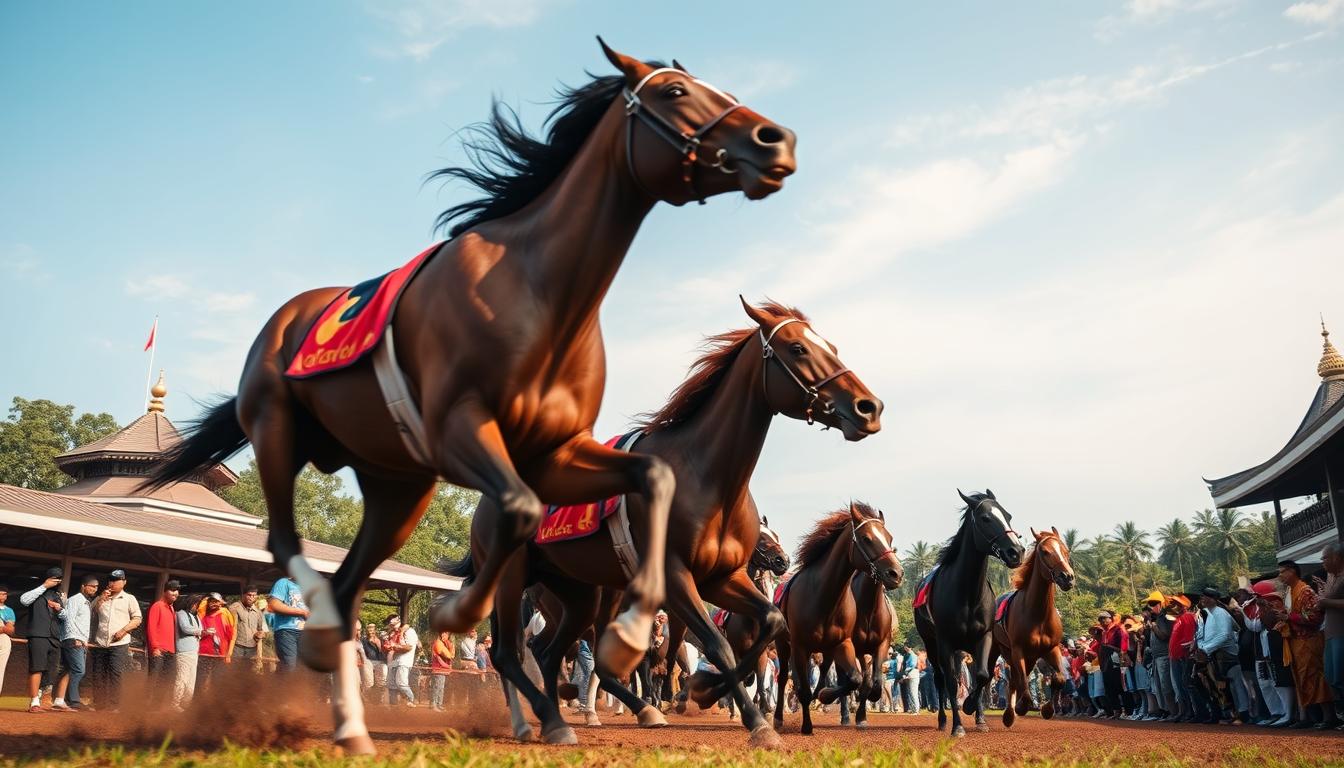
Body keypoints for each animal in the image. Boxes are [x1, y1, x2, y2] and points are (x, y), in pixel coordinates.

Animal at [144, 39, 795, 753]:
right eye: (675, 92)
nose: (775, 139)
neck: (540, 290)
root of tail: (285, 316)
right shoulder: (460, 429)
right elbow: (518, 509)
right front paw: (458, 610)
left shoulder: (556, 452)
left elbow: (649, 477)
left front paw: (629, 639)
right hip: (278, 427)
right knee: (290, 545)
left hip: (400, 490)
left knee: (354, 587)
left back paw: (360, 717)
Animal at [478, 303, 887, 747]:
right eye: (797, 348)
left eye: (831, 346)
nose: (869, 407)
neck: (705, 476)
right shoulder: (675, 576)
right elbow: (717, 646)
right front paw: (747, 717)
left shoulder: (721, 578)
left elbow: (769, 623)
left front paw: (706, 691)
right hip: (515, 577)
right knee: (510, 653)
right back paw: (550, 716)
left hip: (577, 592)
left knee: (548, 652)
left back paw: (562, 715)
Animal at [768, 503, 903, 737]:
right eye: (867, 538)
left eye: (889, 537)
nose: (896, 573)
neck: (823, 596)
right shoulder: (800, 646)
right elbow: (803, 688)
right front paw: (807, 725)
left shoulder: (847, 644)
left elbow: (858, 680)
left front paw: (826, 695)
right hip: (784, 645)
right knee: (784, 676)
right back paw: (778, 718)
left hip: (828, 650)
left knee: (826, 673)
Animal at [913, 492, 1026, 737]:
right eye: (985, 518)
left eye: (1008, 515)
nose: (1016, 552)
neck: (967, 594)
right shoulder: (945, 641)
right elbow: (951, 682)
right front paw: (957, 726)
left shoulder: (984, 637)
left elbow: (982, 675)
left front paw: (973, 710)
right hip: (931, 643)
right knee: (940, 679)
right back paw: (943, 720)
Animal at [994, 529, 1075, 726]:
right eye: (1045, 552)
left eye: (1065, 550)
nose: (1067, 577)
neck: (1037, 614)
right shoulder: (1018, 650)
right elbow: (1023, 683)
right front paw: (1022, 706)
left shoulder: (1052, 649)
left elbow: (1059, 678)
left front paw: (1047, 709)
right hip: (1006, 651)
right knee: (1013, 679)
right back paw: (1009, 714)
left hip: (1031, 658)